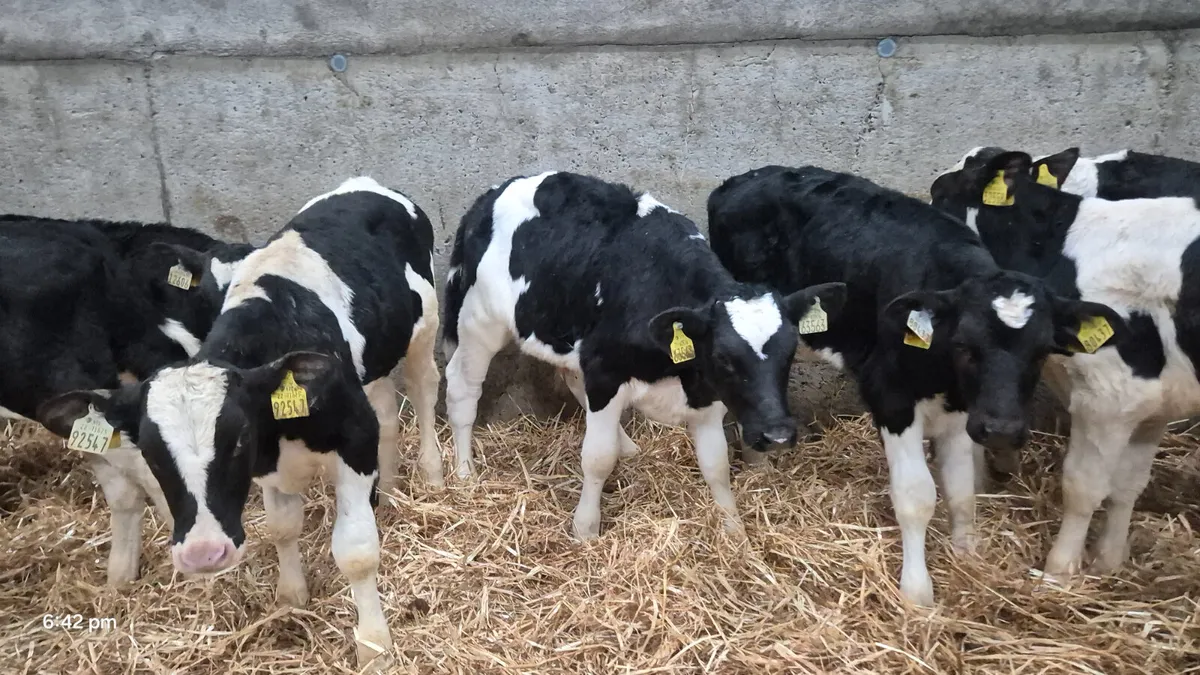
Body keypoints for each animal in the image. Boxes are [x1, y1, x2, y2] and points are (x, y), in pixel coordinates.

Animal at [35, 177, 444, 668]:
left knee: (423, 389)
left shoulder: (353, 438)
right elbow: (283, 527)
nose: (204, 553)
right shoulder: (270, 465)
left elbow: (357, 552)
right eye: (150, 452)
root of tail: (364, 183)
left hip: (423, 328)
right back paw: (394, 485)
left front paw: (374, 646)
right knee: (385, 407)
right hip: (377, 361)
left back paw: (434, 476)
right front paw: (291, 596)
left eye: (238, 438)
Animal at [442, 171, 846, 540]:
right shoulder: (605, 372)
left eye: (789, 353)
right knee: (462, 386)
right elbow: (598, 458)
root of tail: (492, 194)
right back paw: (464, 471)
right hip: (479, 319)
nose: (777, 435)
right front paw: (585, 530)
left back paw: (629, 447)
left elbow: (716, 464)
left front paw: (734, 533)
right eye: (724, 357)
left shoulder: (705, 393)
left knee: (571, 376)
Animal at [707, 165, 1125, 606]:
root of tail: (746, 177)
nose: (1001, 430)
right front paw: (916, 591)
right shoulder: (890, 396)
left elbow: (961, 491)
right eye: (965, 345)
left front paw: (966, 557)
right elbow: (916, 495)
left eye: (1042, 351)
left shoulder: (963, 412)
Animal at [931, 150, 1200, 582]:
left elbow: (1082, 488)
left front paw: (1059, 571)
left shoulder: (1109, 396)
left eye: (939, 193)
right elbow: (1128, 485)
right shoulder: (1153, 402)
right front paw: (1109, 561)